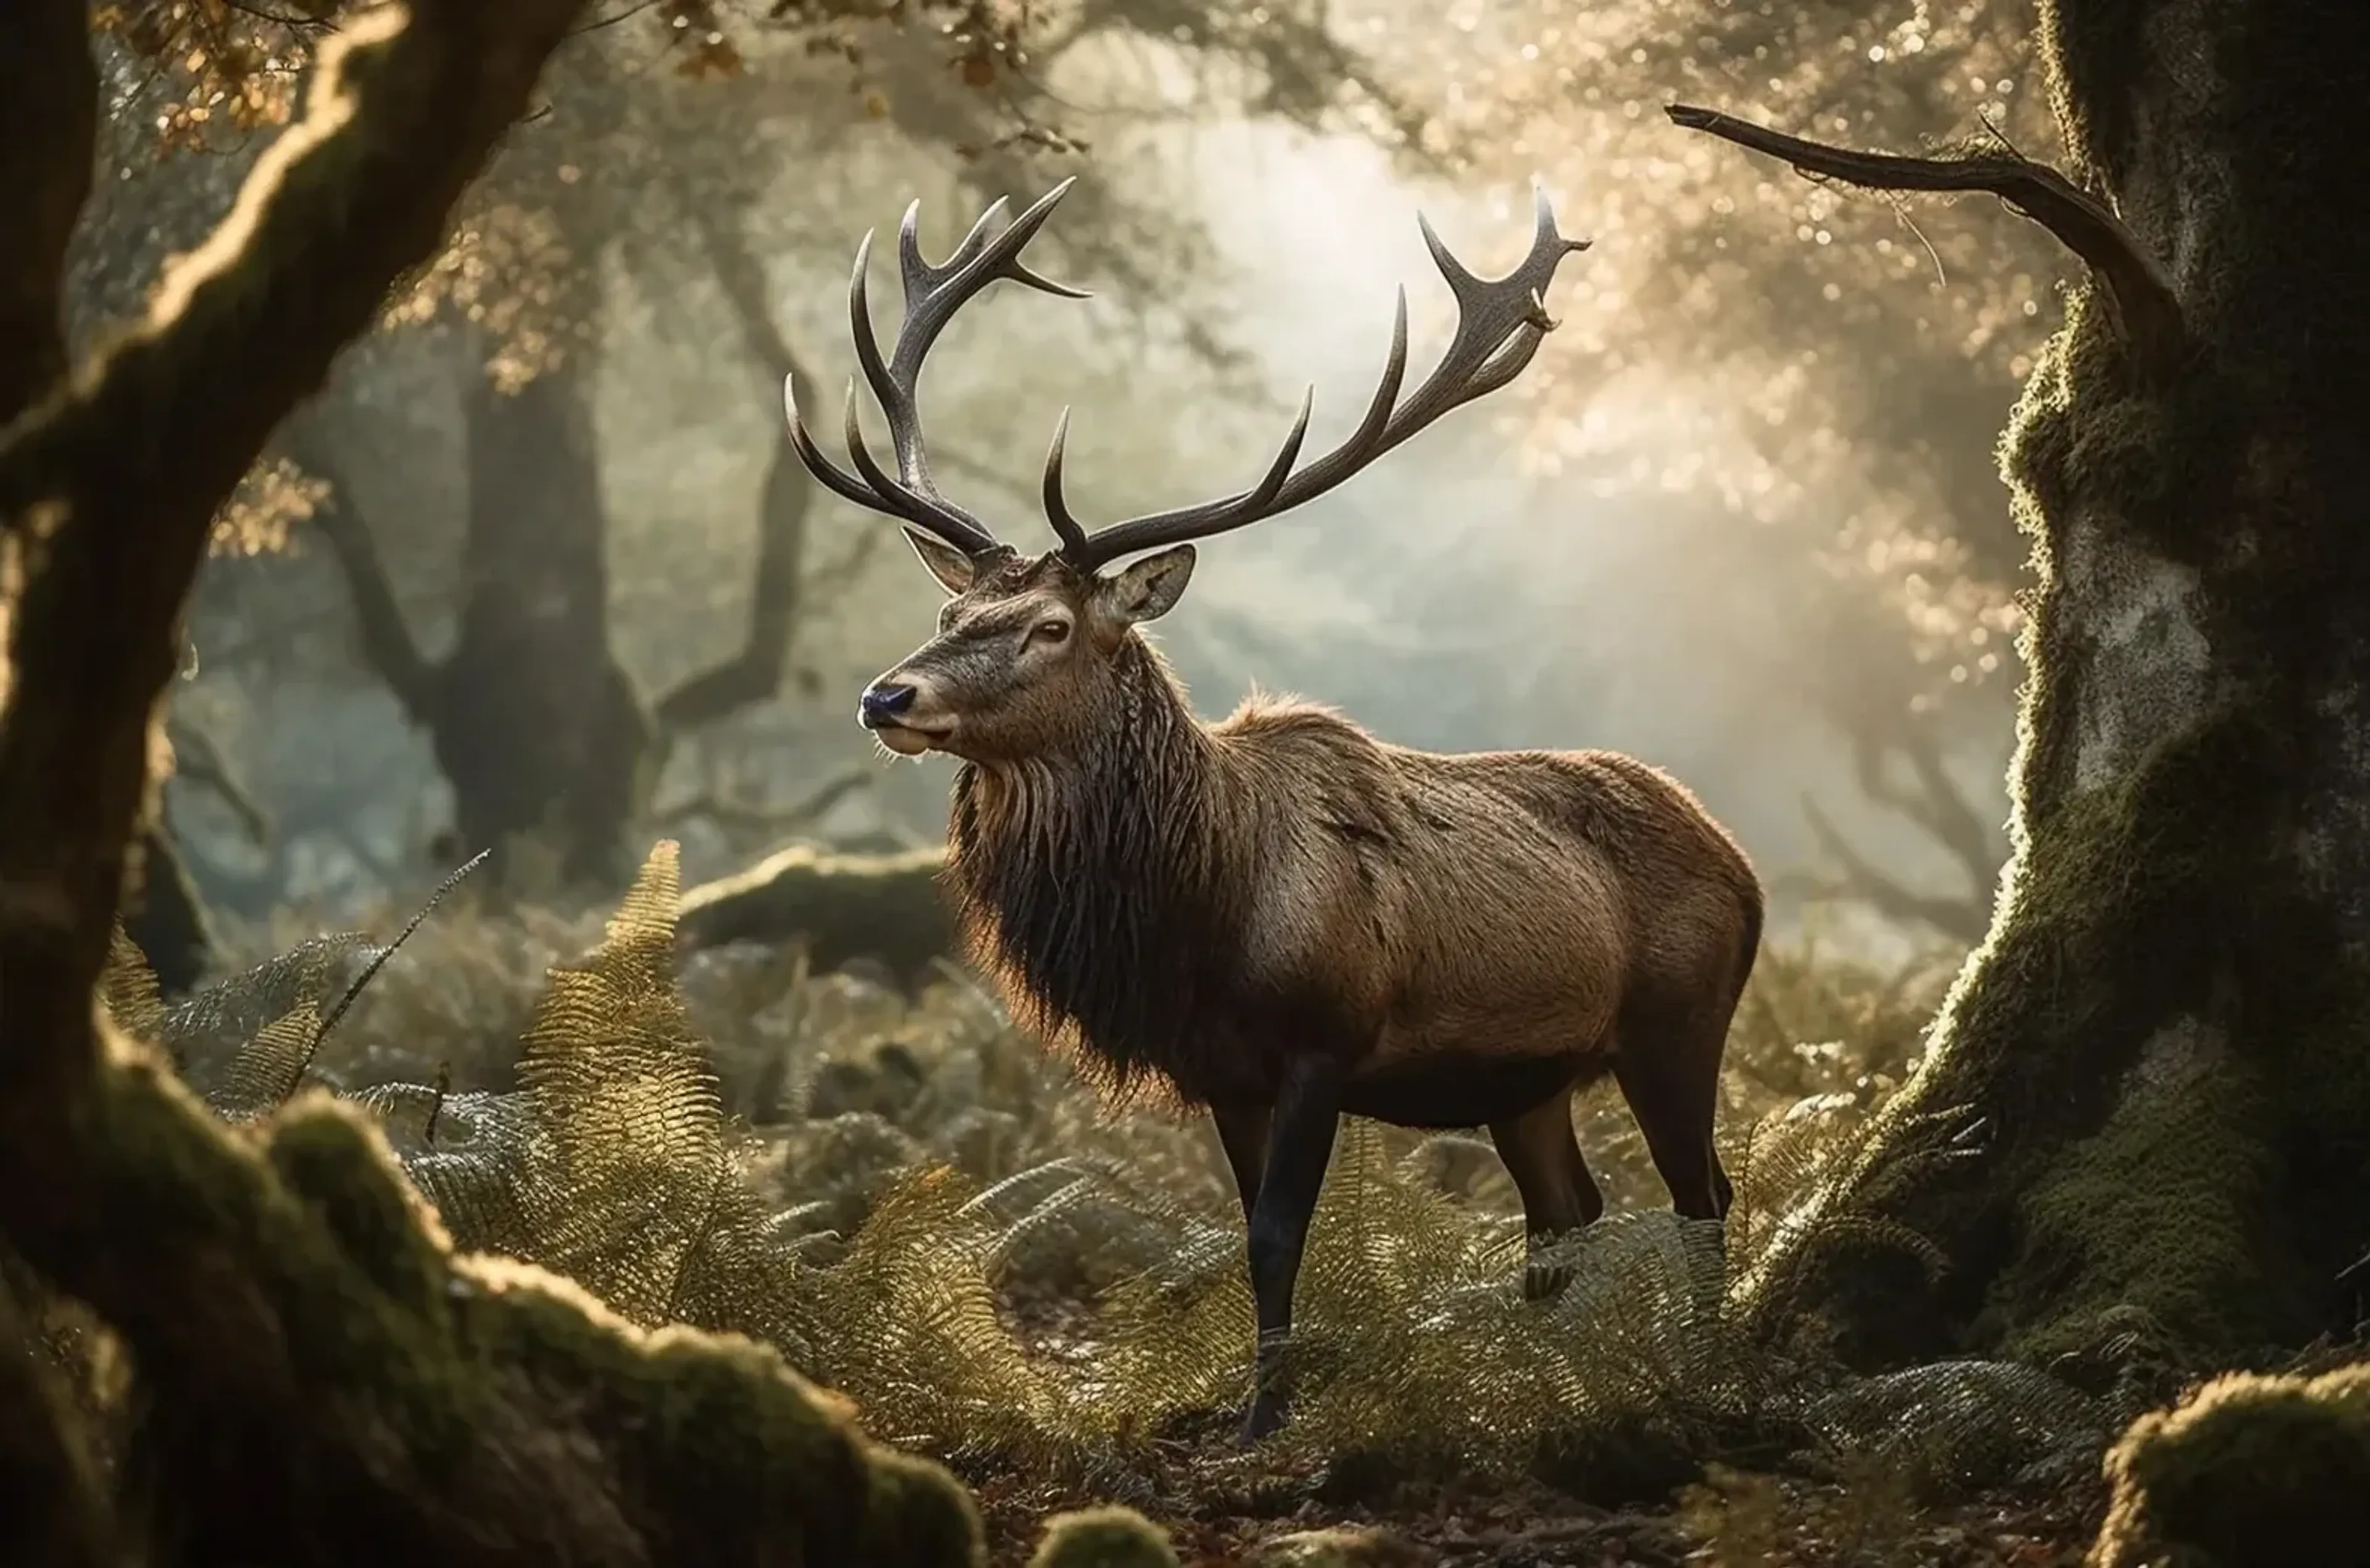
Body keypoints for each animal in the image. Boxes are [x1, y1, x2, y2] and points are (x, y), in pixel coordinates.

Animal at [782, 178, 1765, 1446]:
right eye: (951, 615)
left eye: (1052, 626)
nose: (886, 696)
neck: (1200, 914)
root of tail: (1743, 864)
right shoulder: (1225, 1073)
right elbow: (1248, 1242)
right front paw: (1258, 1404)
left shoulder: (1321, 1040)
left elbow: (1277, 1235)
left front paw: (1265, 1420)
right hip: (1527, 1075)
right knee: (1569, 1210)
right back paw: (1546, 1391)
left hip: (1678, 1019)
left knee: (1703, 1194)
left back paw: (1705, 1374)